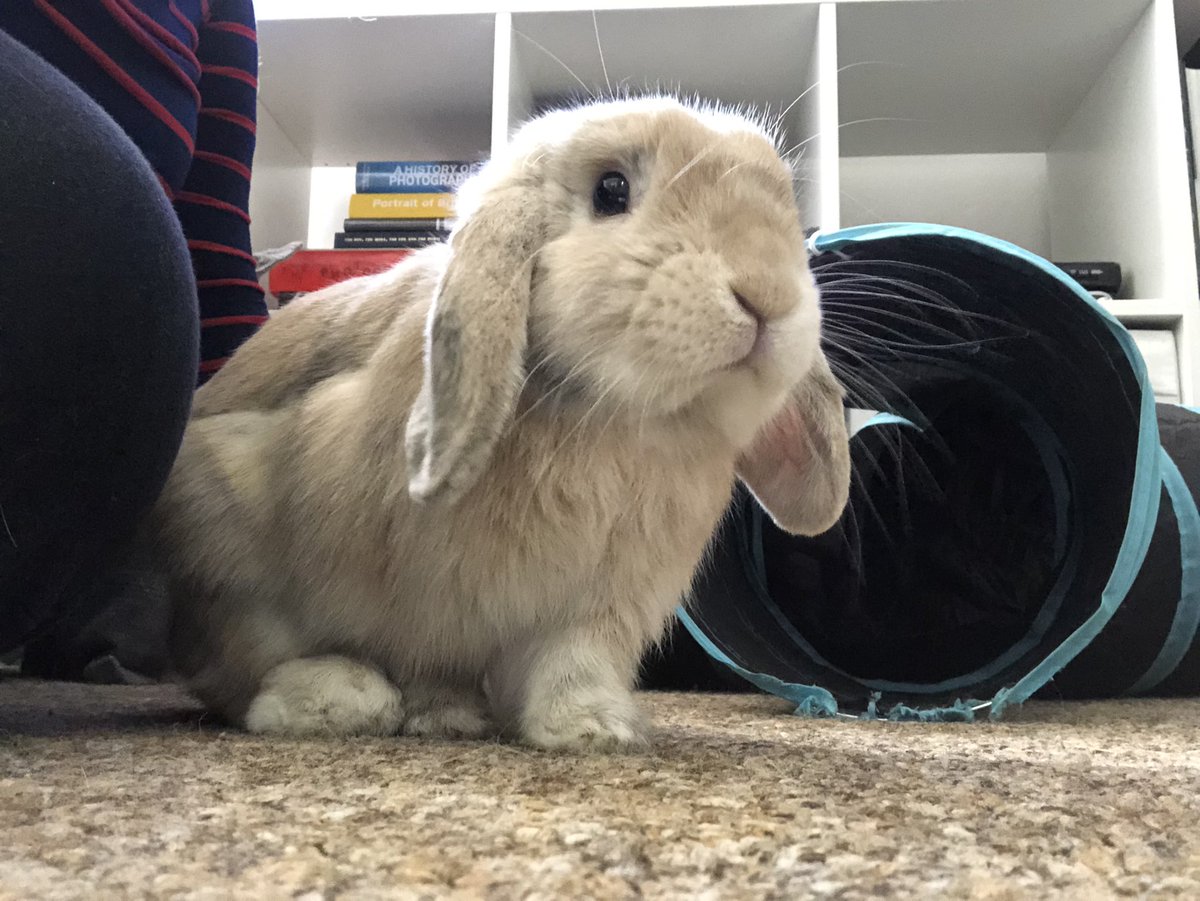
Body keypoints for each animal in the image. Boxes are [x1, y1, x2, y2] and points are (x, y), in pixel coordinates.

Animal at [147, 96, 851, 750]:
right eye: (611, 190)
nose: (768, 296)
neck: (620, 421)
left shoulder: (598, 605)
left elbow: (572, 665)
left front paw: (591, 729)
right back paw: (354, 701)